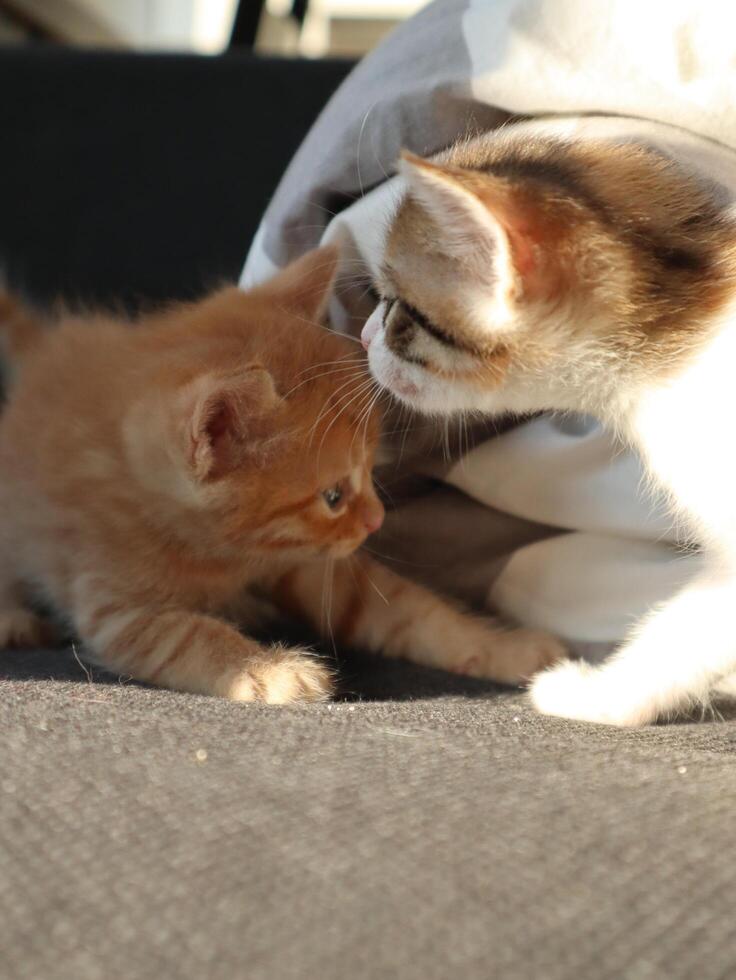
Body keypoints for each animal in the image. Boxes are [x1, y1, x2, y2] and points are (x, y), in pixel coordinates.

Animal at [0, 249, 568, 700]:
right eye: (333, 496)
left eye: (371, 466)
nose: (376, 521)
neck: (224, 554)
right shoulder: (121, 606)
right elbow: (191, 636)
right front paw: (267, 670)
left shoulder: (314, 563)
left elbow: (410, 610)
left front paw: (499, 647)